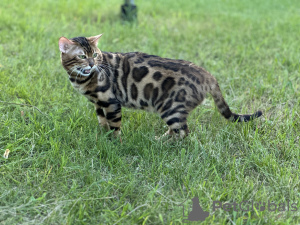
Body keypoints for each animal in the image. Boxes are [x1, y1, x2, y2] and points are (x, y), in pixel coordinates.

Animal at [58, 33, 262, 139]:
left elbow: (114, 125)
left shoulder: (110, 101)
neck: (81, 79)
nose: (92, 64)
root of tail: (207, 74)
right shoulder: (98, 103)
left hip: (171, 108)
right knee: (176, 130)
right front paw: (101, 135)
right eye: (82, 56)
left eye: (95, 54)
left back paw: (164, 144)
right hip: (172, 110)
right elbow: (102, 121)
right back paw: (160, 139)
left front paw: (114, 141)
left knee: (184, 133)